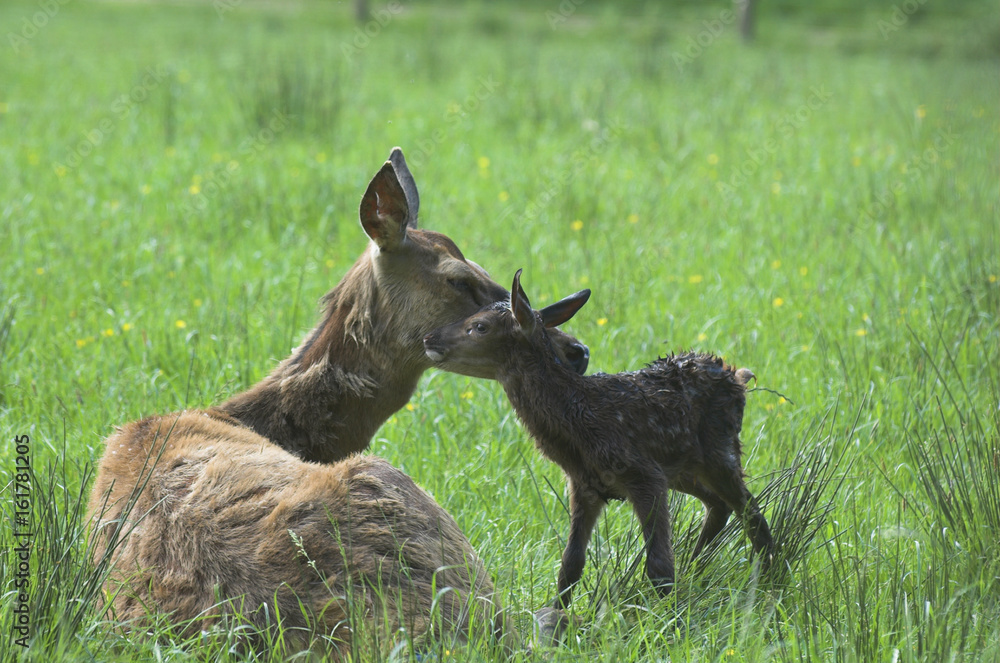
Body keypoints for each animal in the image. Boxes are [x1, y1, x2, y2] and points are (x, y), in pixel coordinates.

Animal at [423, 269, 775, 618]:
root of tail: (737, 375)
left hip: (720, 451)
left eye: (479, 325)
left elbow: (659, 565)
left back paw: (769, 580)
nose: (429, 338)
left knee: (752, 513)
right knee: (719, 505)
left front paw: (669, 618)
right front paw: (558, 614)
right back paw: (697, 567)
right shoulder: (585, 485)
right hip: (682, 469)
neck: (579, 423)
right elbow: (570, 565)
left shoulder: (643, 475)